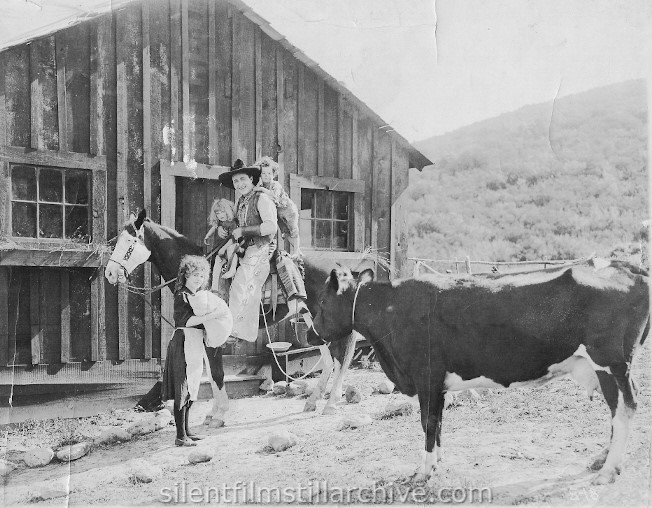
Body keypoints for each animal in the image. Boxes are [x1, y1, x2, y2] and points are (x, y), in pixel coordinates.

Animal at [104, 208, 364, 418]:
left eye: (129, 242)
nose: (109, 273)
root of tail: (339, 268)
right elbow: (211, 374)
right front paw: (213, 413)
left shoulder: (216, 338)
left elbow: (217, 374)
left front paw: (219, 415)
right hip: (313, 321)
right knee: (330, 361)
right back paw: (313, 402)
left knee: (341, 358)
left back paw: (331, 403)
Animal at [314, 260, 648, 486]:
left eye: (322, 301)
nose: (312, 330)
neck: (390, 311)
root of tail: (629, 268)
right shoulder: (438, 384)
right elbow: (437, 424)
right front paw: (437, 463)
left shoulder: (426, 377)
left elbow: (428, 423)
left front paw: (424, 472)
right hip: (604, 366)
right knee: (619, 408)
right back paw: (601, 461)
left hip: (610, 362)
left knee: (625, 408)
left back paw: (609, 470)